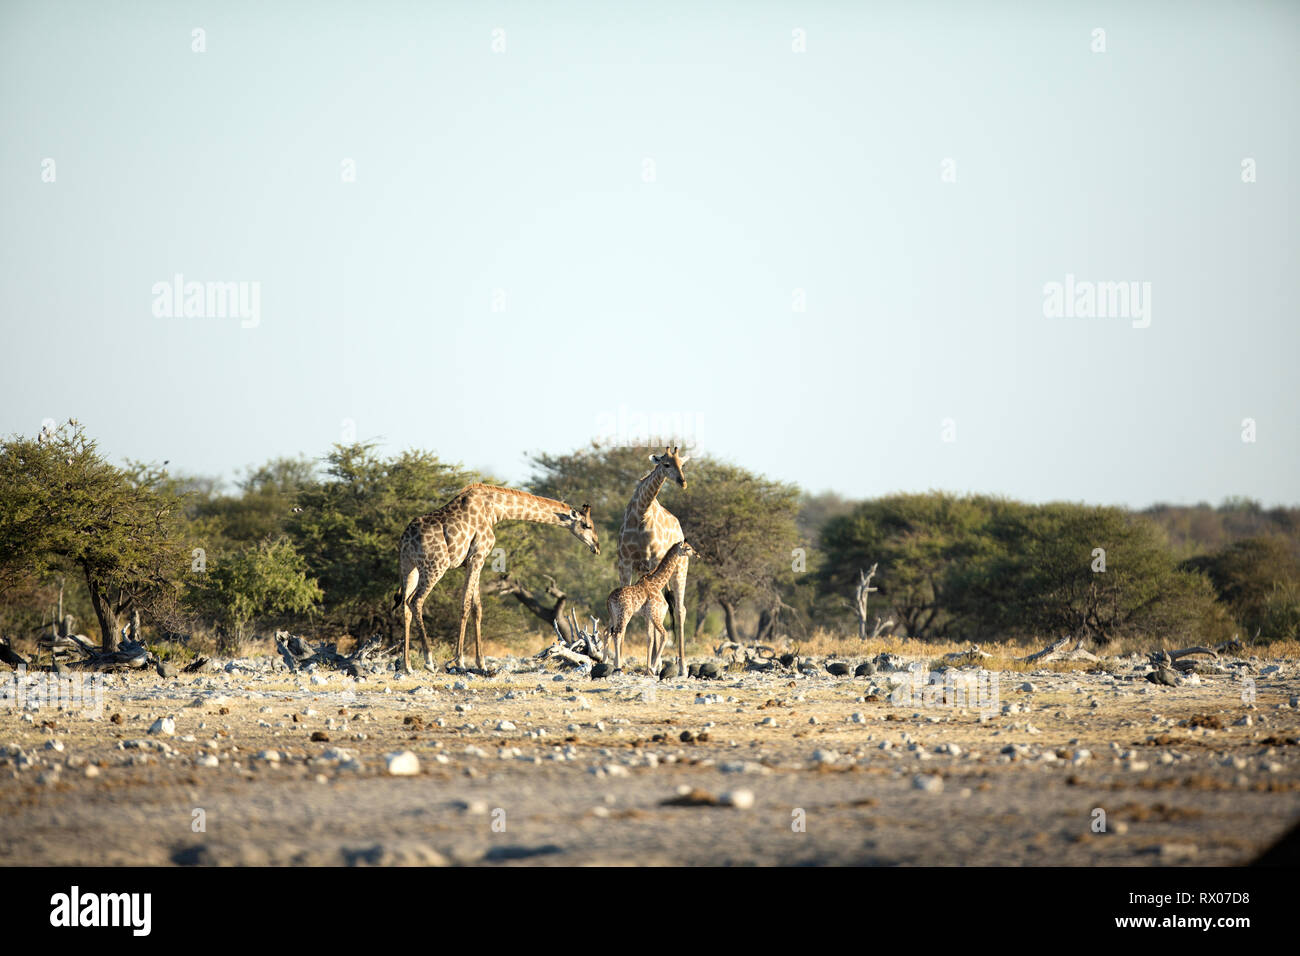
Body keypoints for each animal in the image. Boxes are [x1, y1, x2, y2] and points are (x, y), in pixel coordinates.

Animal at [392, 486, 600, 671]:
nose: (597, 547)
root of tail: (405, 539)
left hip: (409, 566)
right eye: (587, 525)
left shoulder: (472, 561)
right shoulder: (478, 556)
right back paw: (428, 661)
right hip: (435, 566)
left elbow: (477, 607)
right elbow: (465, 604)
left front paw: (481, 663)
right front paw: (460, 661)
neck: (494, 510)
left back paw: (407, 666)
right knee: (416, 601)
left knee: (405, 604)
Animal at [603, 541, 696, 671]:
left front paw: (649, 668)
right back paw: (618, 665)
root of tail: (609, 599)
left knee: (607, 632)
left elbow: (650, 639)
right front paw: (653, 666)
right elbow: (664, 635)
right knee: (617, 634)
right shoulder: (654, 613)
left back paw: (605, 661)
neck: (657, 583)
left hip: (614, 615)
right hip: (625, 614)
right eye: (688, 548)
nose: (697, 554)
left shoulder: (647, 616)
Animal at [618, 447, 691, 671]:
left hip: (680, 569)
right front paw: (617, 661)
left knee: (680, 609)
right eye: (666, 464)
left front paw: (651, 664)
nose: (683, 482)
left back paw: (681, 666)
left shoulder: (652, 561)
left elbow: (651, 620)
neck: (641, 514)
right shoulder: (625, 563)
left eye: (681, 464)